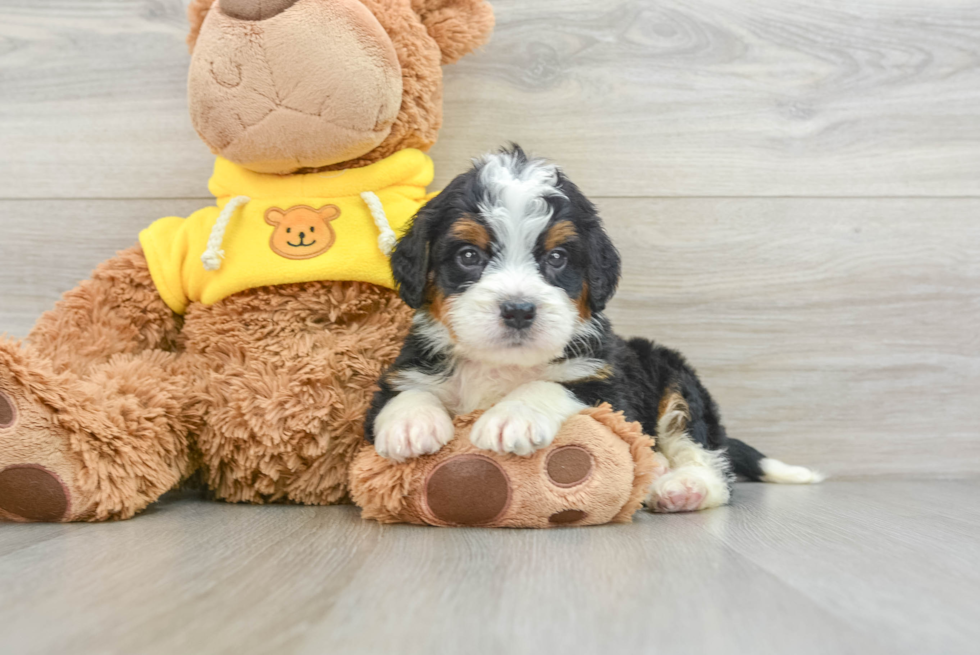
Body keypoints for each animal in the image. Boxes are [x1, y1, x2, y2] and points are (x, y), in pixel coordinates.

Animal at [366, 146, 820, 516]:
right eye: (468, 255)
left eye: (557, 258)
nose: (518, 310)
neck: (503, 367)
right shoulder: (402, 371)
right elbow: (404, 392)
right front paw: (410, 425)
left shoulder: (608, 384)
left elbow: (552, 386)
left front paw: (512, 416)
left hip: (674, 376)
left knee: (706, 458)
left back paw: (681, 486)